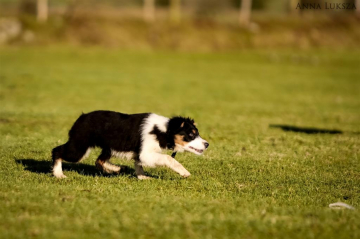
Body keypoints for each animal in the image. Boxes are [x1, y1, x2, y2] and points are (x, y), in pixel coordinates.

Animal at [50, 110, 208, 179]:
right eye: (191, 134)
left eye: (197, 133)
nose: (207, 144)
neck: (164, 131)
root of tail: (81, 117)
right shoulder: (145, 153)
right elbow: (168, 158)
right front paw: (184, 172)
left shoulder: (140, 153)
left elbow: (138, 164)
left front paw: (143, 177)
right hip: (79, 147)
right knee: (56, 151)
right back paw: (59, 174)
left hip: (108, 147)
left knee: (99, 161)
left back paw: (117, 169)